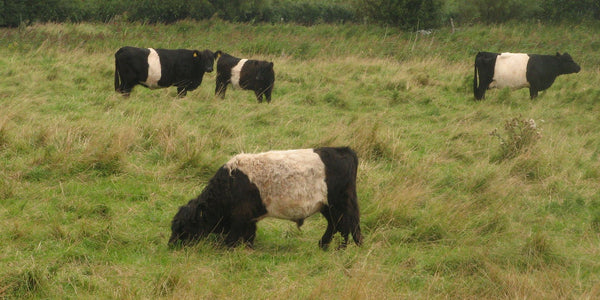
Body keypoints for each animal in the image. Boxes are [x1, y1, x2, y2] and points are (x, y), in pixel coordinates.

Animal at [168, 146, 360, 250]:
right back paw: (323, 246)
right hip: (327, 206)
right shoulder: (249, 218)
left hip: (339, 204)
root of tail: (344, 151)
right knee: (335, 225)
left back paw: (340, 249)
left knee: (345, 226)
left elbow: (232, 239)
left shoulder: (239, 217)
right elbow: (248, 236)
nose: (171, 245)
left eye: (183, 227)